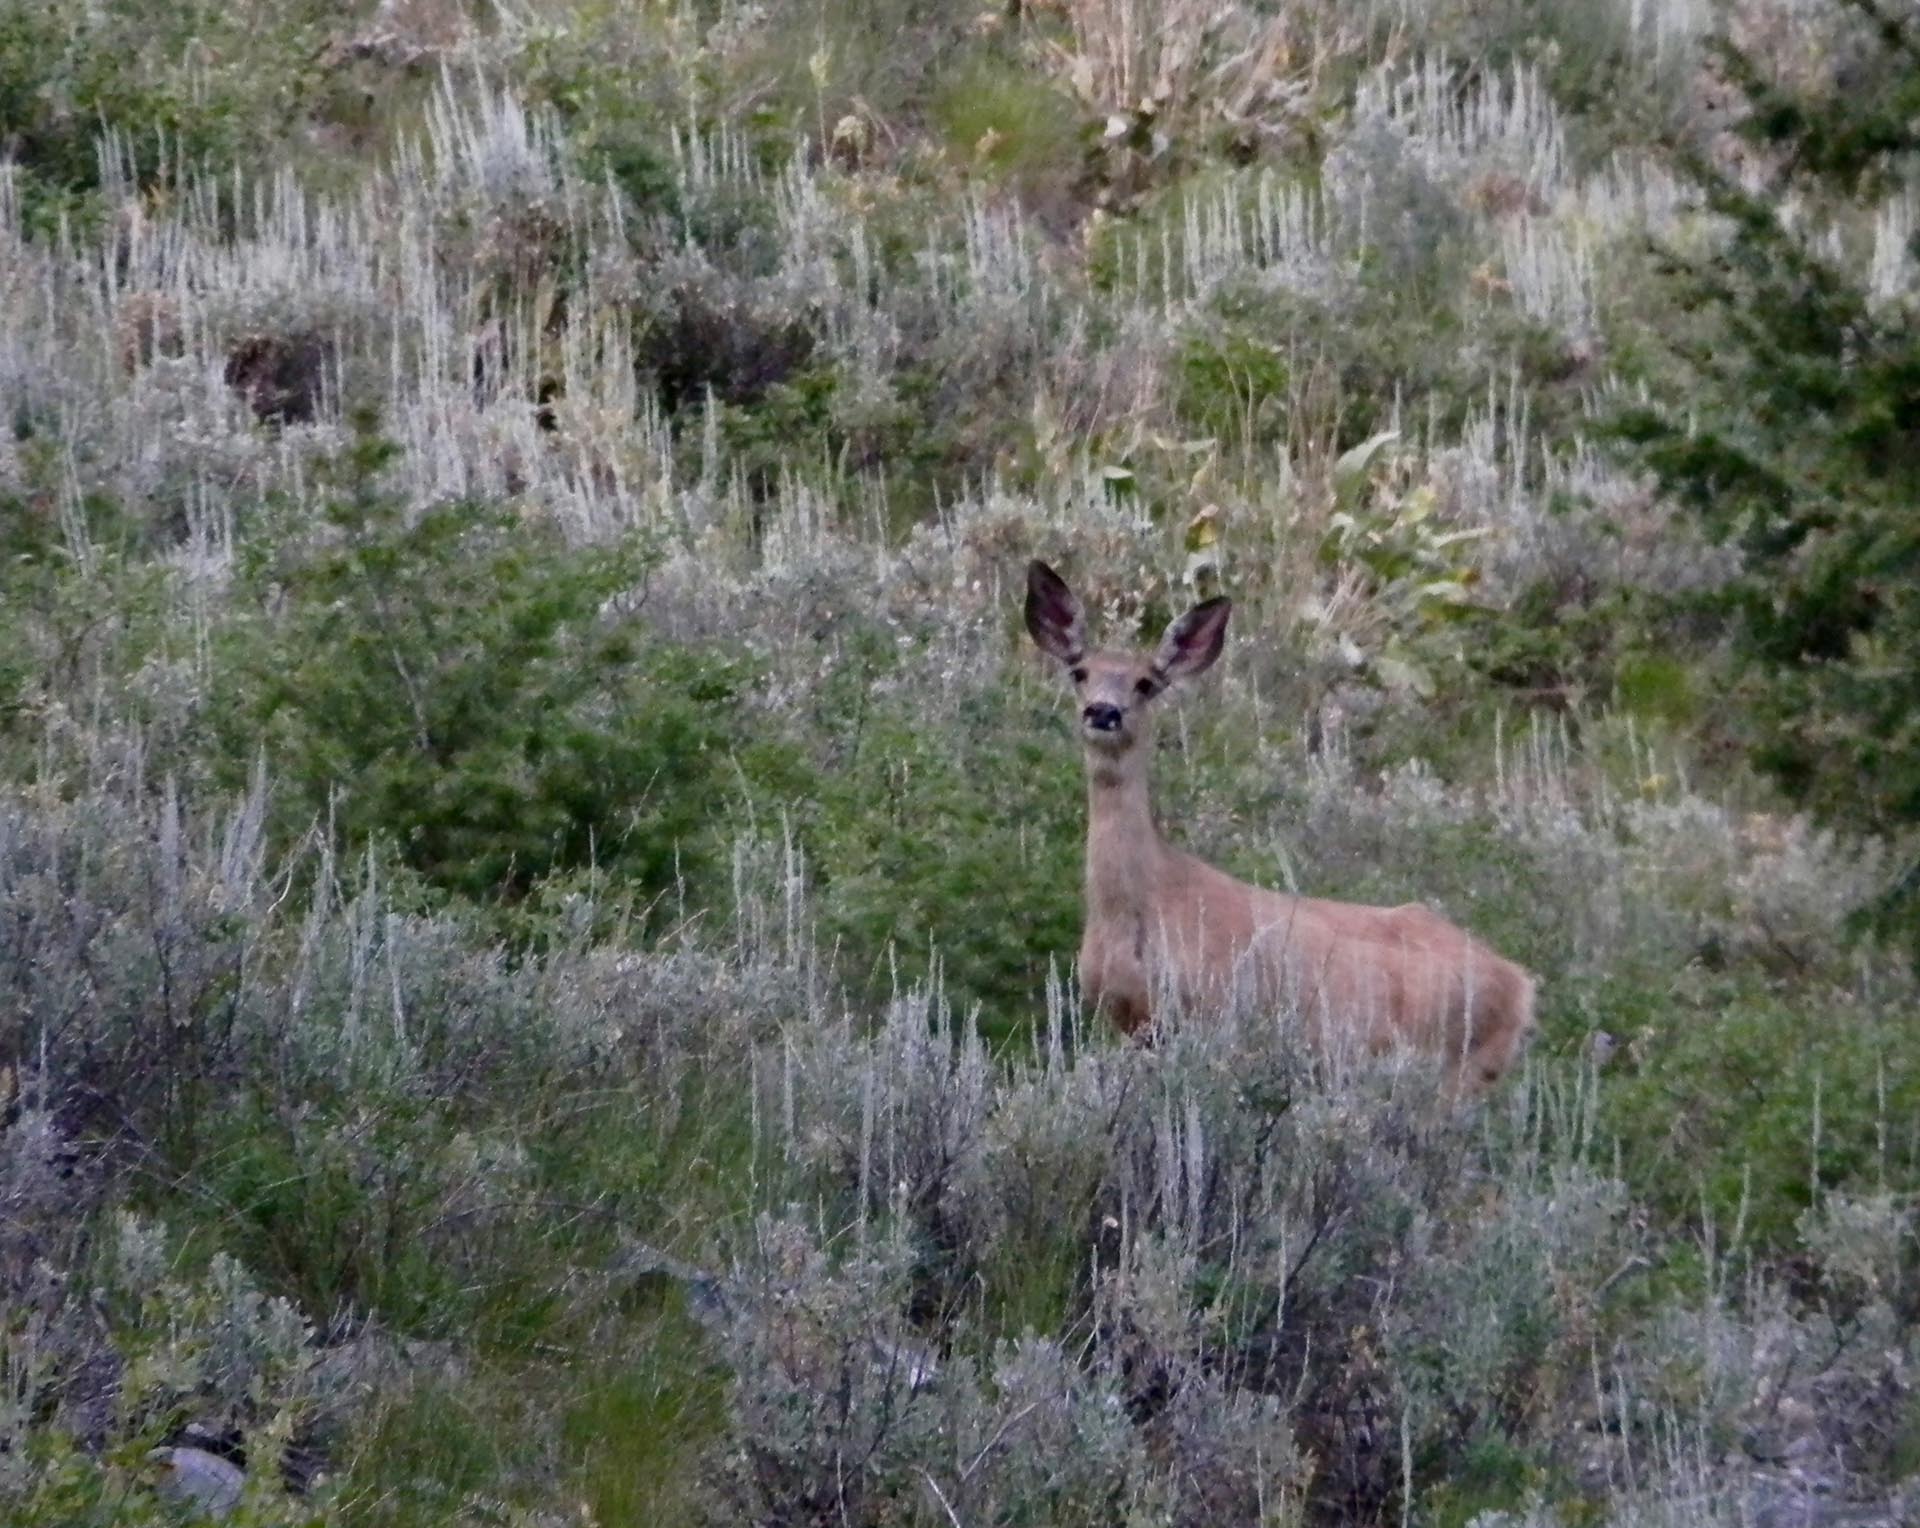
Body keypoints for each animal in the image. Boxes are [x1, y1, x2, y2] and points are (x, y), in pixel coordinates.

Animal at [1025, 560, 1536, 1093]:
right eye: (1081, 673)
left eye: (1146, 683)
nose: (1103, 712)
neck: (1140, 905)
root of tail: (1523, 986)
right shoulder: (1132, 1020)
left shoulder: (1206, 1011)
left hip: (1458, 1070)